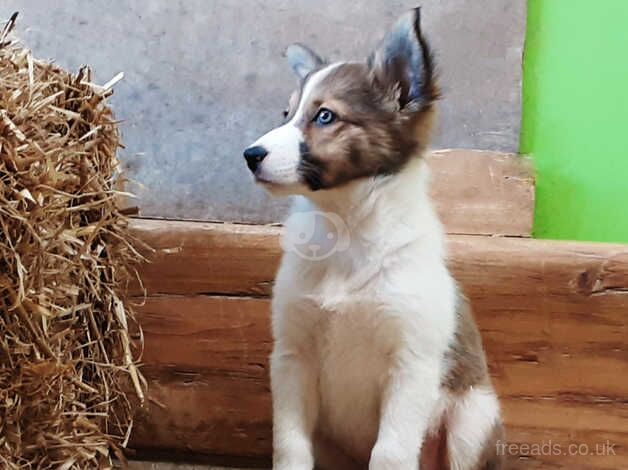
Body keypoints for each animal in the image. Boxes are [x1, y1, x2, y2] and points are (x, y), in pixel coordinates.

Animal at [243, 7, 502, 470]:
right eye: (286, 112)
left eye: (325, 116)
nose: (250, 155)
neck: (346, 230)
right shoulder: (292, 356)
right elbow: (290, 446)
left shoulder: (411, 366)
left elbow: (390, 452)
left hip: (473, 420)